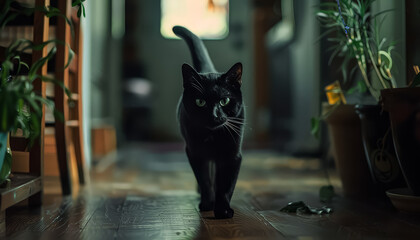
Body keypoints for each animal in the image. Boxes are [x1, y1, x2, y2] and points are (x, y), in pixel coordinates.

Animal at [173, 26, 244, 219]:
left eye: (224, 101)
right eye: (200, 102)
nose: (213, 115)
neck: (213, 136)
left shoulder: (232, 154)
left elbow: (226, 184)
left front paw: (223, 210)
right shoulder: (196, 152)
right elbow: (204, 179)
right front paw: (207, 203)